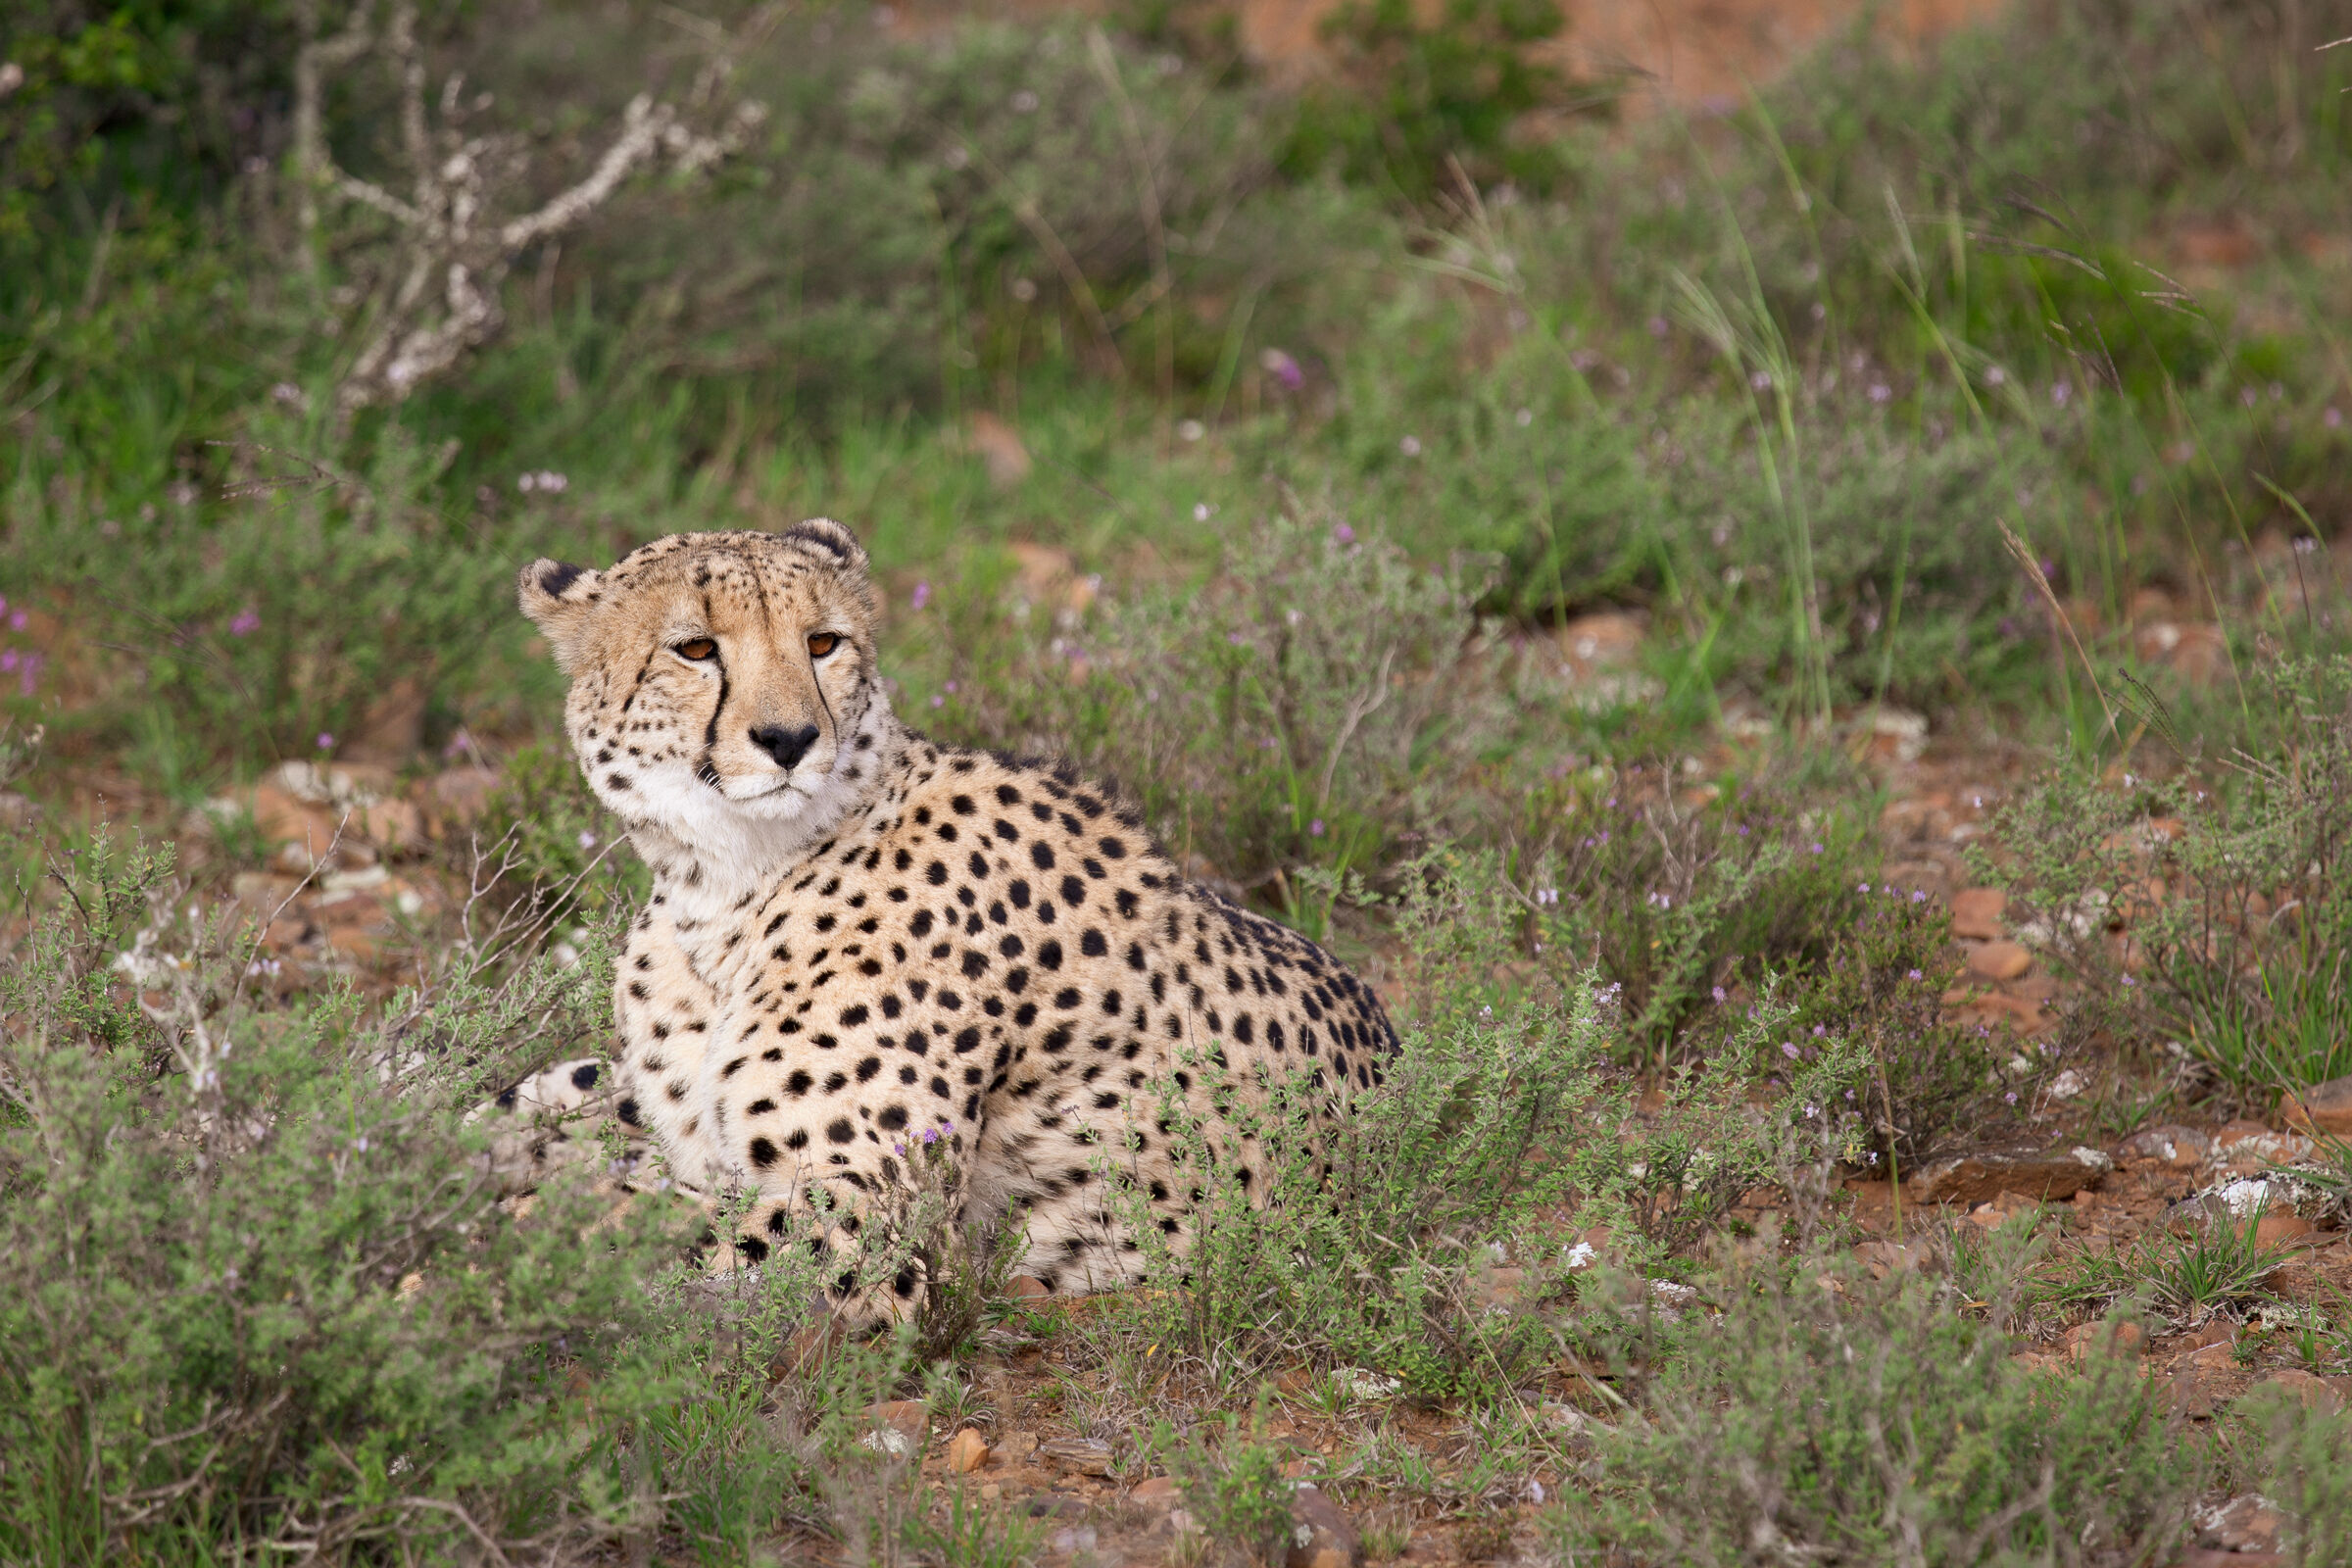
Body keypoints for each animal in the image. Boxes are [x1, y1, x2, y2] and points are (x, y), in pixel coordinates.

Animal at [506, 520, 1398, 1319]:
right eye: (694, 650)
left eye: (823, 642)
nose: (790, 739)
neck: (725, 887)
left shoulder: (876, 1210)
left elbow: (646, 1249)